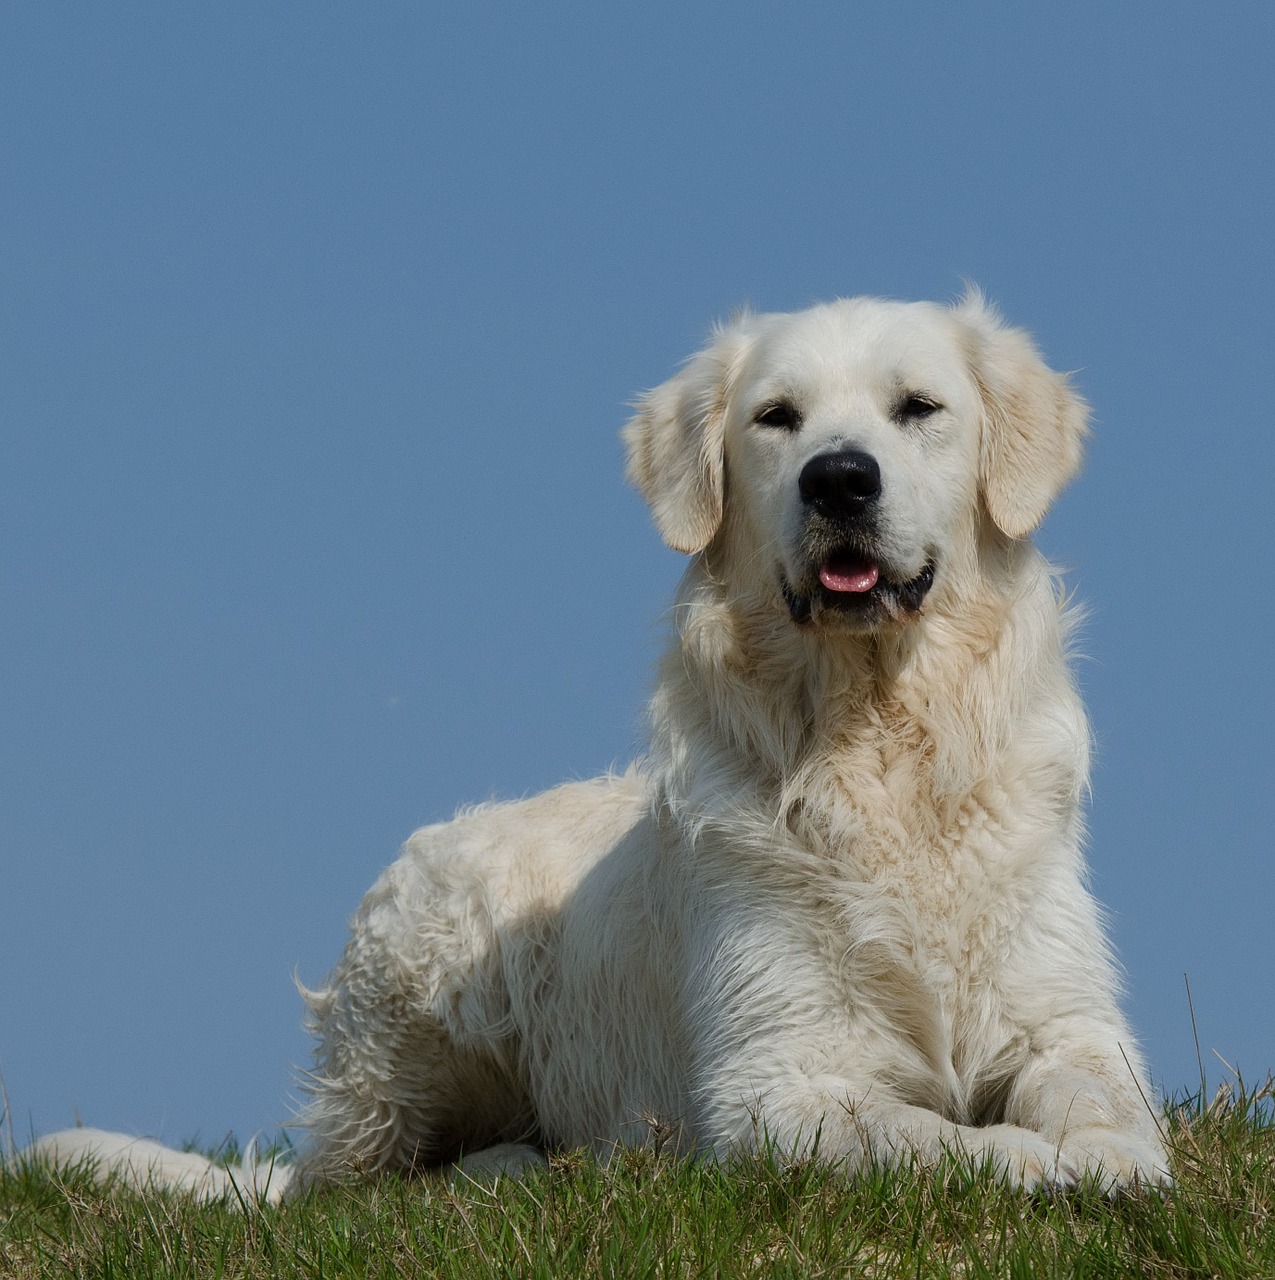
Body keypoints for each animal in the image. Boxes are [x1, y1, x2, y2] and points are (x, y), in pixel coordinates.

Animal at [24, 294, 1172, 1192]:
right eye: (777, 418)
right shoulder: (780, 1078)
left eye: (918, 409)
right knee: (366, 1185)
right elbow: (924, 1136)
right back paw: (523, 1165)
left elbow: (1101, 1095)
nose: (840, 479)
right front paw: (1029, 1160)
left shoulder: (1064, 1018)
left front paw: (1112, 1156)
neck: (877, 739)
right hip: (429, 961)